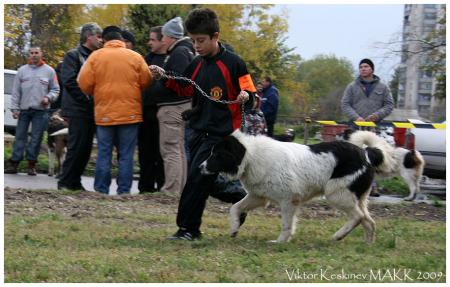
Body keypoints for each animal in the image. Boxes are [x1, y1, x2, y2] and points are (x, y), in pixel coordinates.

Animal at [201, 131, 386, 245]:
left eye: (216, 154)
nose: (199, 167)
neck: (251, 156)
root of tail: (366, 153)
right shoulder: (258, 196)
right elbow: (235, 208)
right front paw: (234, 228)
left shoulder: (289, 200)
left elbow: (286, 225)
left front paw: (280, 242)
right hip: (356, 198)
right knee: (369, 221)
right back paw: (367, 244)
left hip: (337, 194)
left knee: (358, 217)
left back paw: (338, 236)